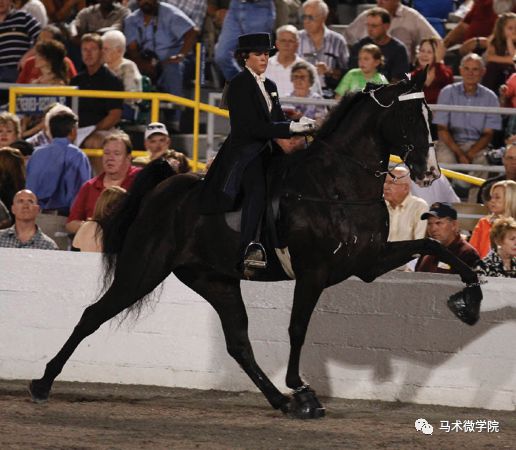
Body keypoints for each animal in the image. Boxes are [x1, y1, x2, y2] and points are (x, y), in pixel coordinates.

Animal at [29, 70, 484, 418]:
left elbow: (437, 247)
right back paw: (41, 382)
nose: (428, 173)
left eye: (429, 114)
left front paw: (469, 303)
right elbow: (298, 327)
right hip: (142, 270)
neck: (336, 186)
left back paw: (280, 401)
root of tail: (165, 186)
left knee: (239, 344)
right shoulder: (314, 271)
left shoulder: (367, 263)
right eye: (409, 115)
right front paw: (302, 387)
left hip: (215, 280)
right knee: (93, 315)